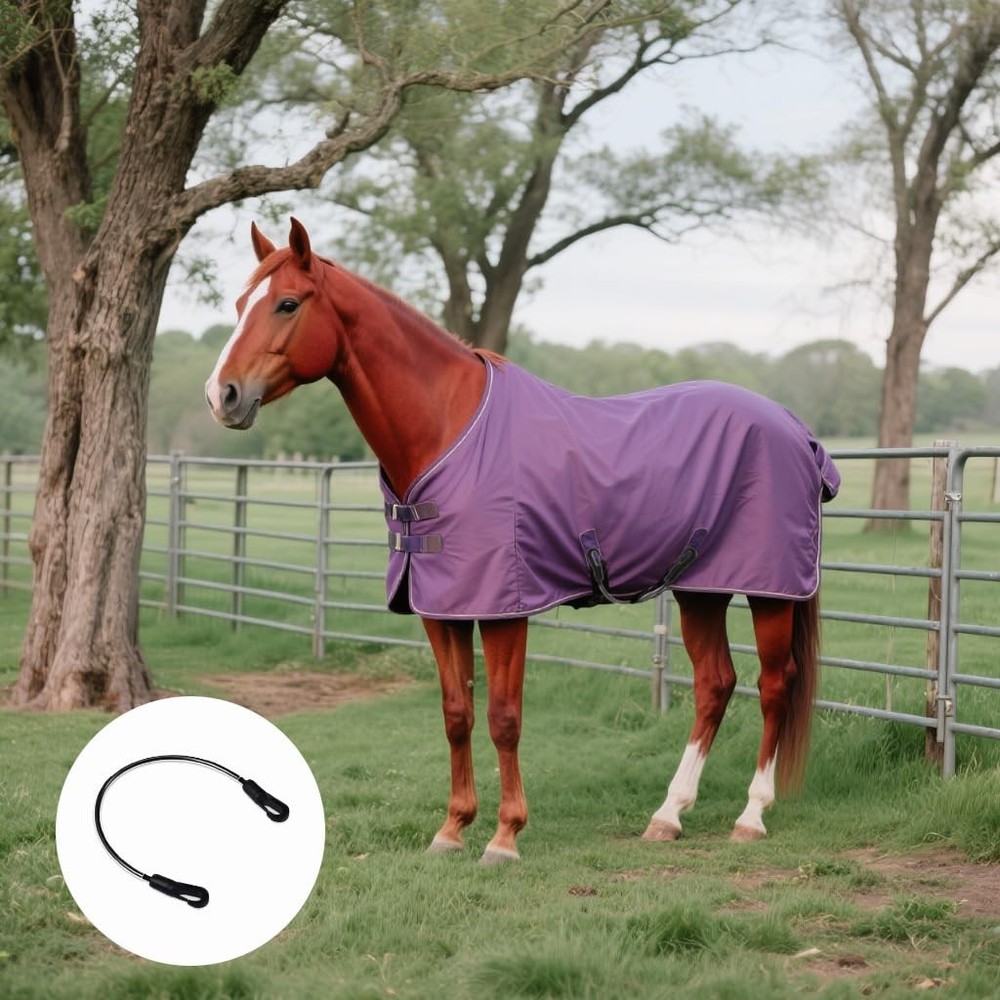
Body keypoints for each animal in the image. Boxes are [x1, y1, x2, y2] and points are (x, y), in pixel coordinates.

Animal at [205, 218, 840, 864]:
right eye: (238, 305)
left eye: (287, 303)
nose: (221, 394)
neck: (447, 429)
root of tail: (797, 429)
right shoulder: (441, 607)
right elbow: (456, 713)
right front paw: (452, 829)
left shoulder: (504, 608)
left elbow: (503, 718)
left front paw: (505, 836)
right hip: (699, 589)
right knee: (714, 684)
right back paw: (668, 814)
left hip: (769, 591)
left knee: (773, 686)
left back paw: (750, 816)